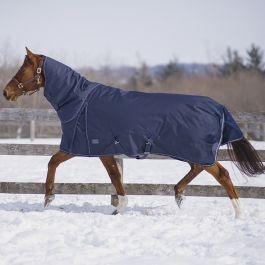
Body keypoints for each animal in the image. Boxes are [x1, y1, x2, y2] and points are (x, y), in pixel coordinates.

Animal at [2, 48, 264, 218]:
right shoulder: (96, 148)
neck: (80, 101)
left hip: (195, 150)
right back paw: (179, 195)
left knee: (221, 174)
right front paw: (118, 208)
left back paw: (237, 214)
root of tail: (218, 107)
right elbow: (113, 177)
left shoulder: (90, 147)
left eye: (24, 69)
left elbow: (57, 163)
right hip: (192, 151)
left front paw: (48, 199)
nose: (6, 92)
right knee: (202, 169)